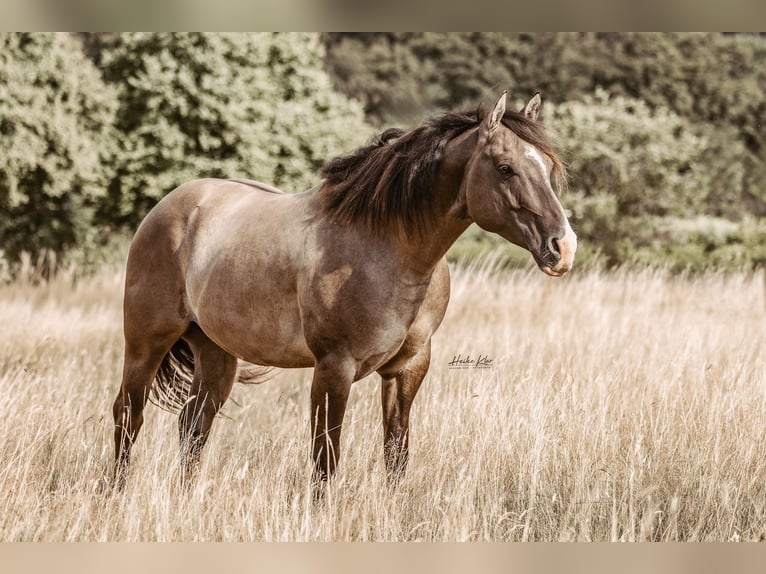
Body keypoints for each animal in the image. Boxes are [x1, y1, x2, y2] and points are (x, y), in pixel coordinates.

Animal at [111, 91, 577, 488]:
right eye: (505, 168)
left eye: (546, 167)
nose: (563, 247)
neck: (387, 246)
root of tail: (170, 206)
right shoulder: (335, 367)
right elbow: (326, 458)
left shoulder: (408, 369)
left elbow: (396, 453)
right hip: (146, 343)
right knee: (128, 414)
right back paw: (114, 493)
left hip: (215, 353)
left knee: (193, 424)